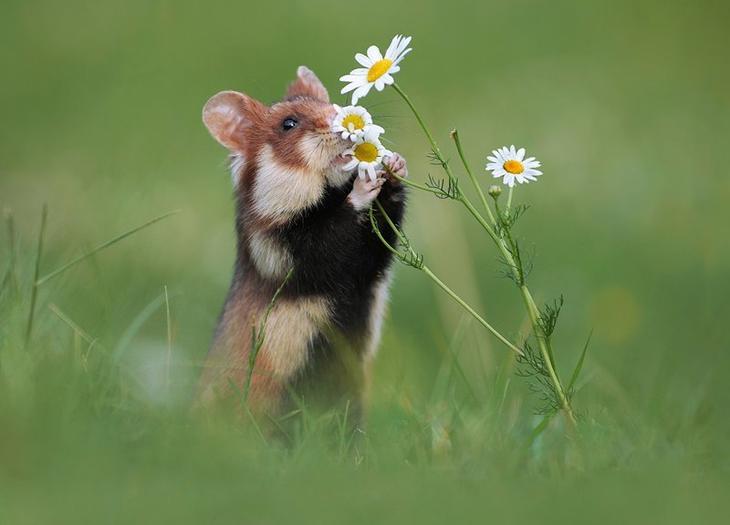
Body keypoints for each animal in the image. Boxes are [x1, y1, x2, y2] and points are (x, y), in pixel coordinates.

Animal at [196, 66, 406, 426]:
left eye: (333, 104)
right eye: (289, 124)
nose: (348, 123)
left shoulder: (369, 267)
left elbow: (380, 243)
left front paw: (393, 165)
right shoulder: (285, 250)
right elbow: (333, 237)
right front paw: (364, 186)